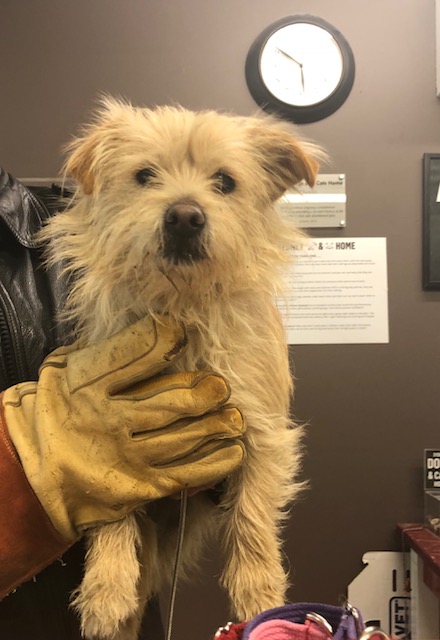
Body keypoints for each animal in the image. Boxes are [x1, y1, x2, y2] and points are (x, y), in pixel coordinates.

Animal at [42, 97, 321, 640]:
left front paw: (260, 596)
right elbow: (111, 502)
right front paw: (106, 588)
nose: (185, 216)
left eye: (225, 182)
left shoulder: (262, 432)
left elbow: (253, 517)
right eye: (145, 176)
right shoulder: (116, 425)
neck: (182, 304)